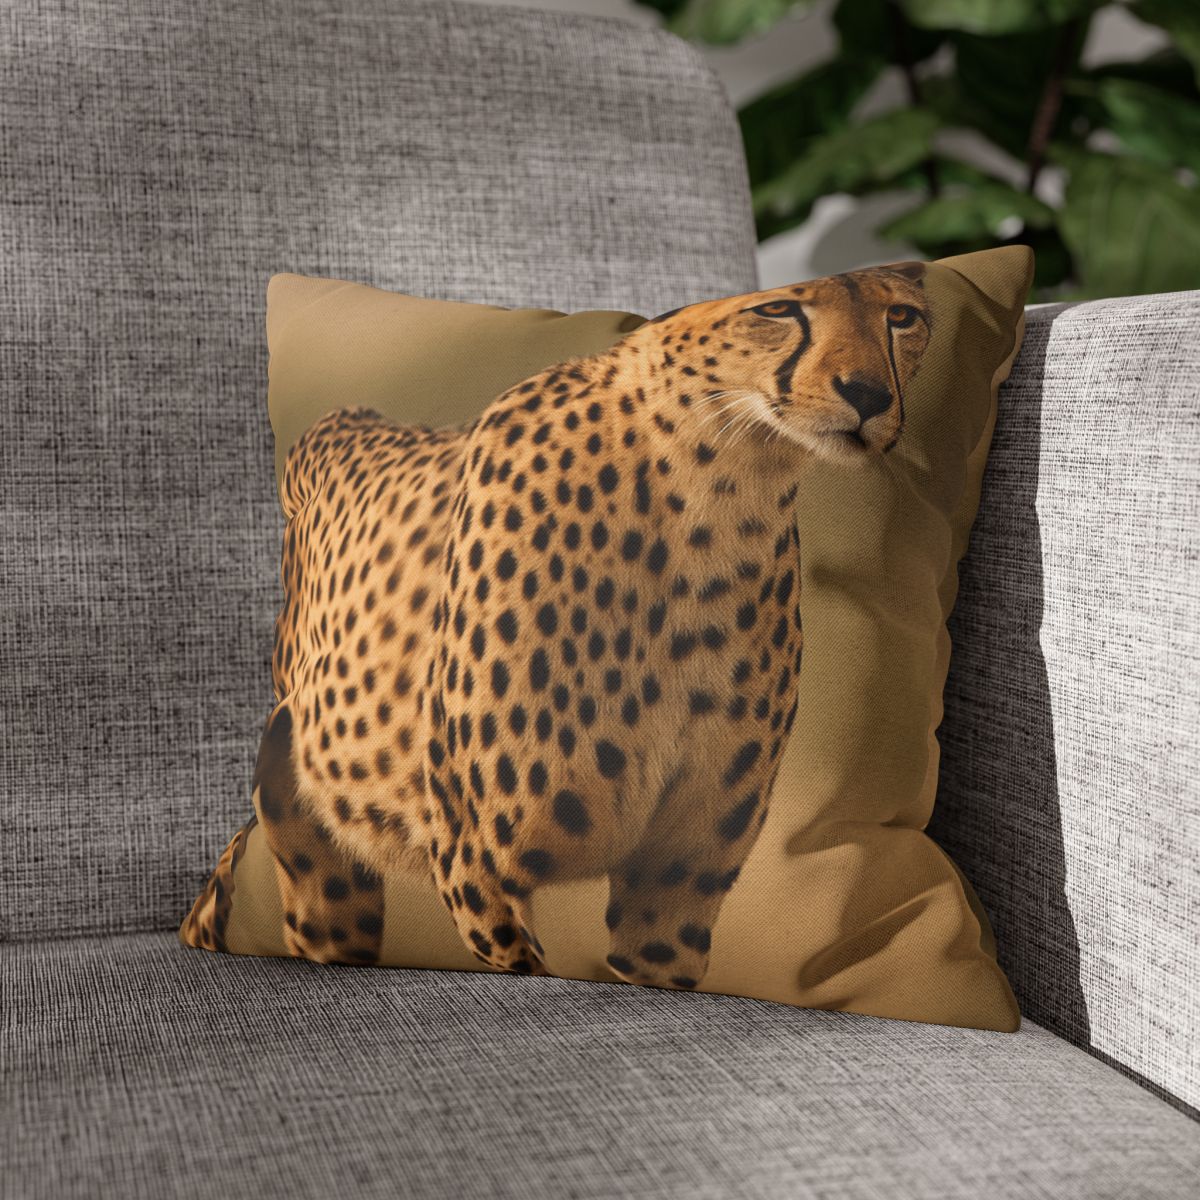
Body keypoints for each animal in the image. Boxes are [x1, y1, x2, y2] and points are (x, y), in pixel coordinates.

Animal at [182, 262, 932, 991]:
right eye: (776, 308)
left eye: (902, 315)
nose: (868, 395)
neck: (714, 500)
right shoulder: (474, 860)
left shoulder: (674, 882)